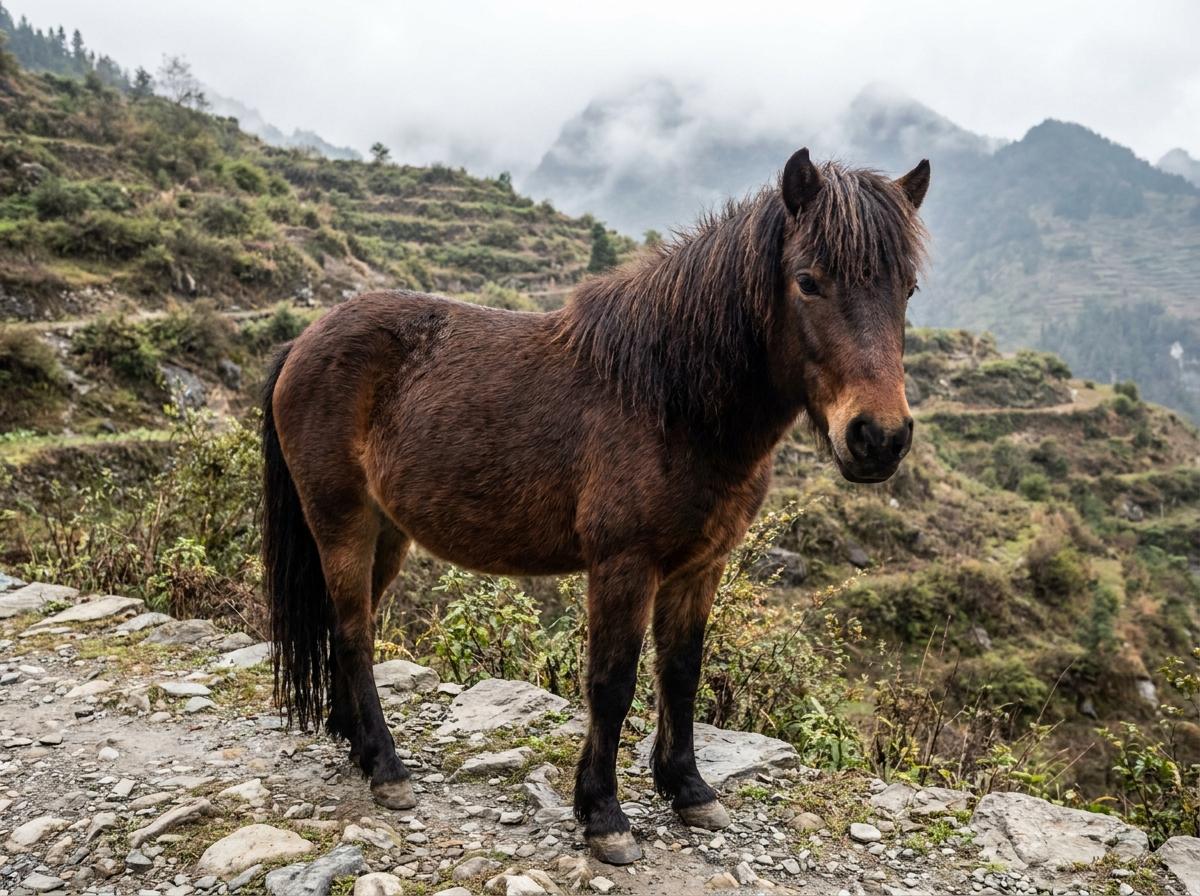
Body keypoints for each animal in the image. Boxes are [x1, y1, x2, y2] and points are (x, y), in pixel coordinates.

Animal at [261, 148, 930, 865]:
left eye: (908, 290)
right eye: (808, 281)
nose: (879, 437)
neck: (668, 398)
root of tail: (302, 343)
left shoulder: (700, 567)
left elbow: (681, 673)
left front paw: (689, 789)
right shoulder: (623, 566)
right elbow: (612, 685)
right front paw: (604, 815)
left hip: (388, 532)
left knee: (347, 625)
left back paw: (358, 745)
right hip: (342, 523)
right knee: (354, 633)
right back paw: (386, 767)